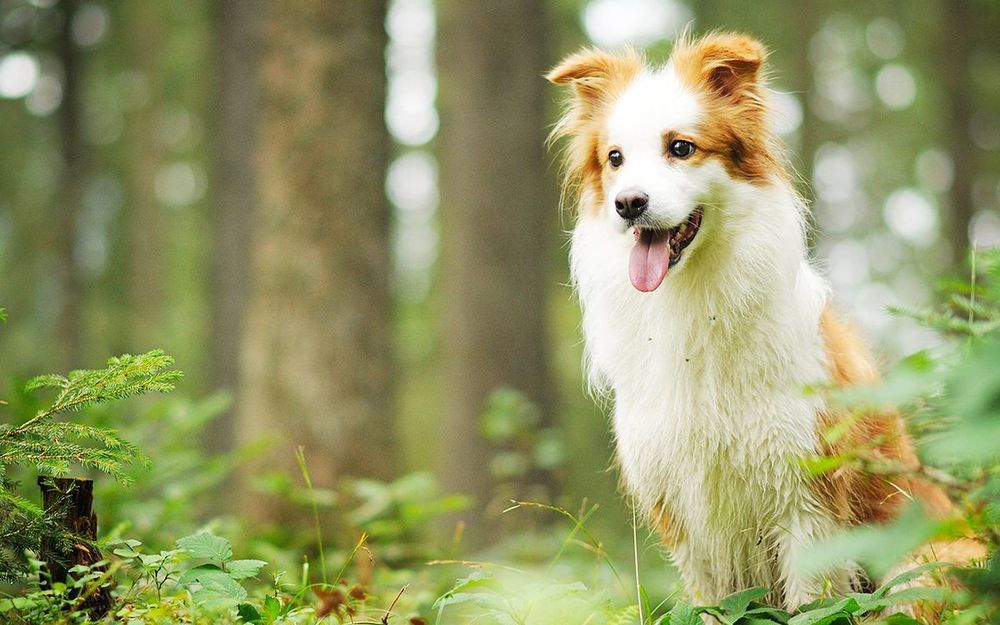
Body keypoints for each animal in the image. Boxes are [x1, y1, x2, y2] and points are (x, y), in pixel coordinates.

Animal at [544, 33, 980, 608]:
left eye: (680, 147)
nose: (628, 203)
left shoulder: (807, 499)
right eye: (614, 158)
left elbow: (812, 605)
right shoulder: (682, 510)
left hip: (920, 567)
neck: (692, 300)